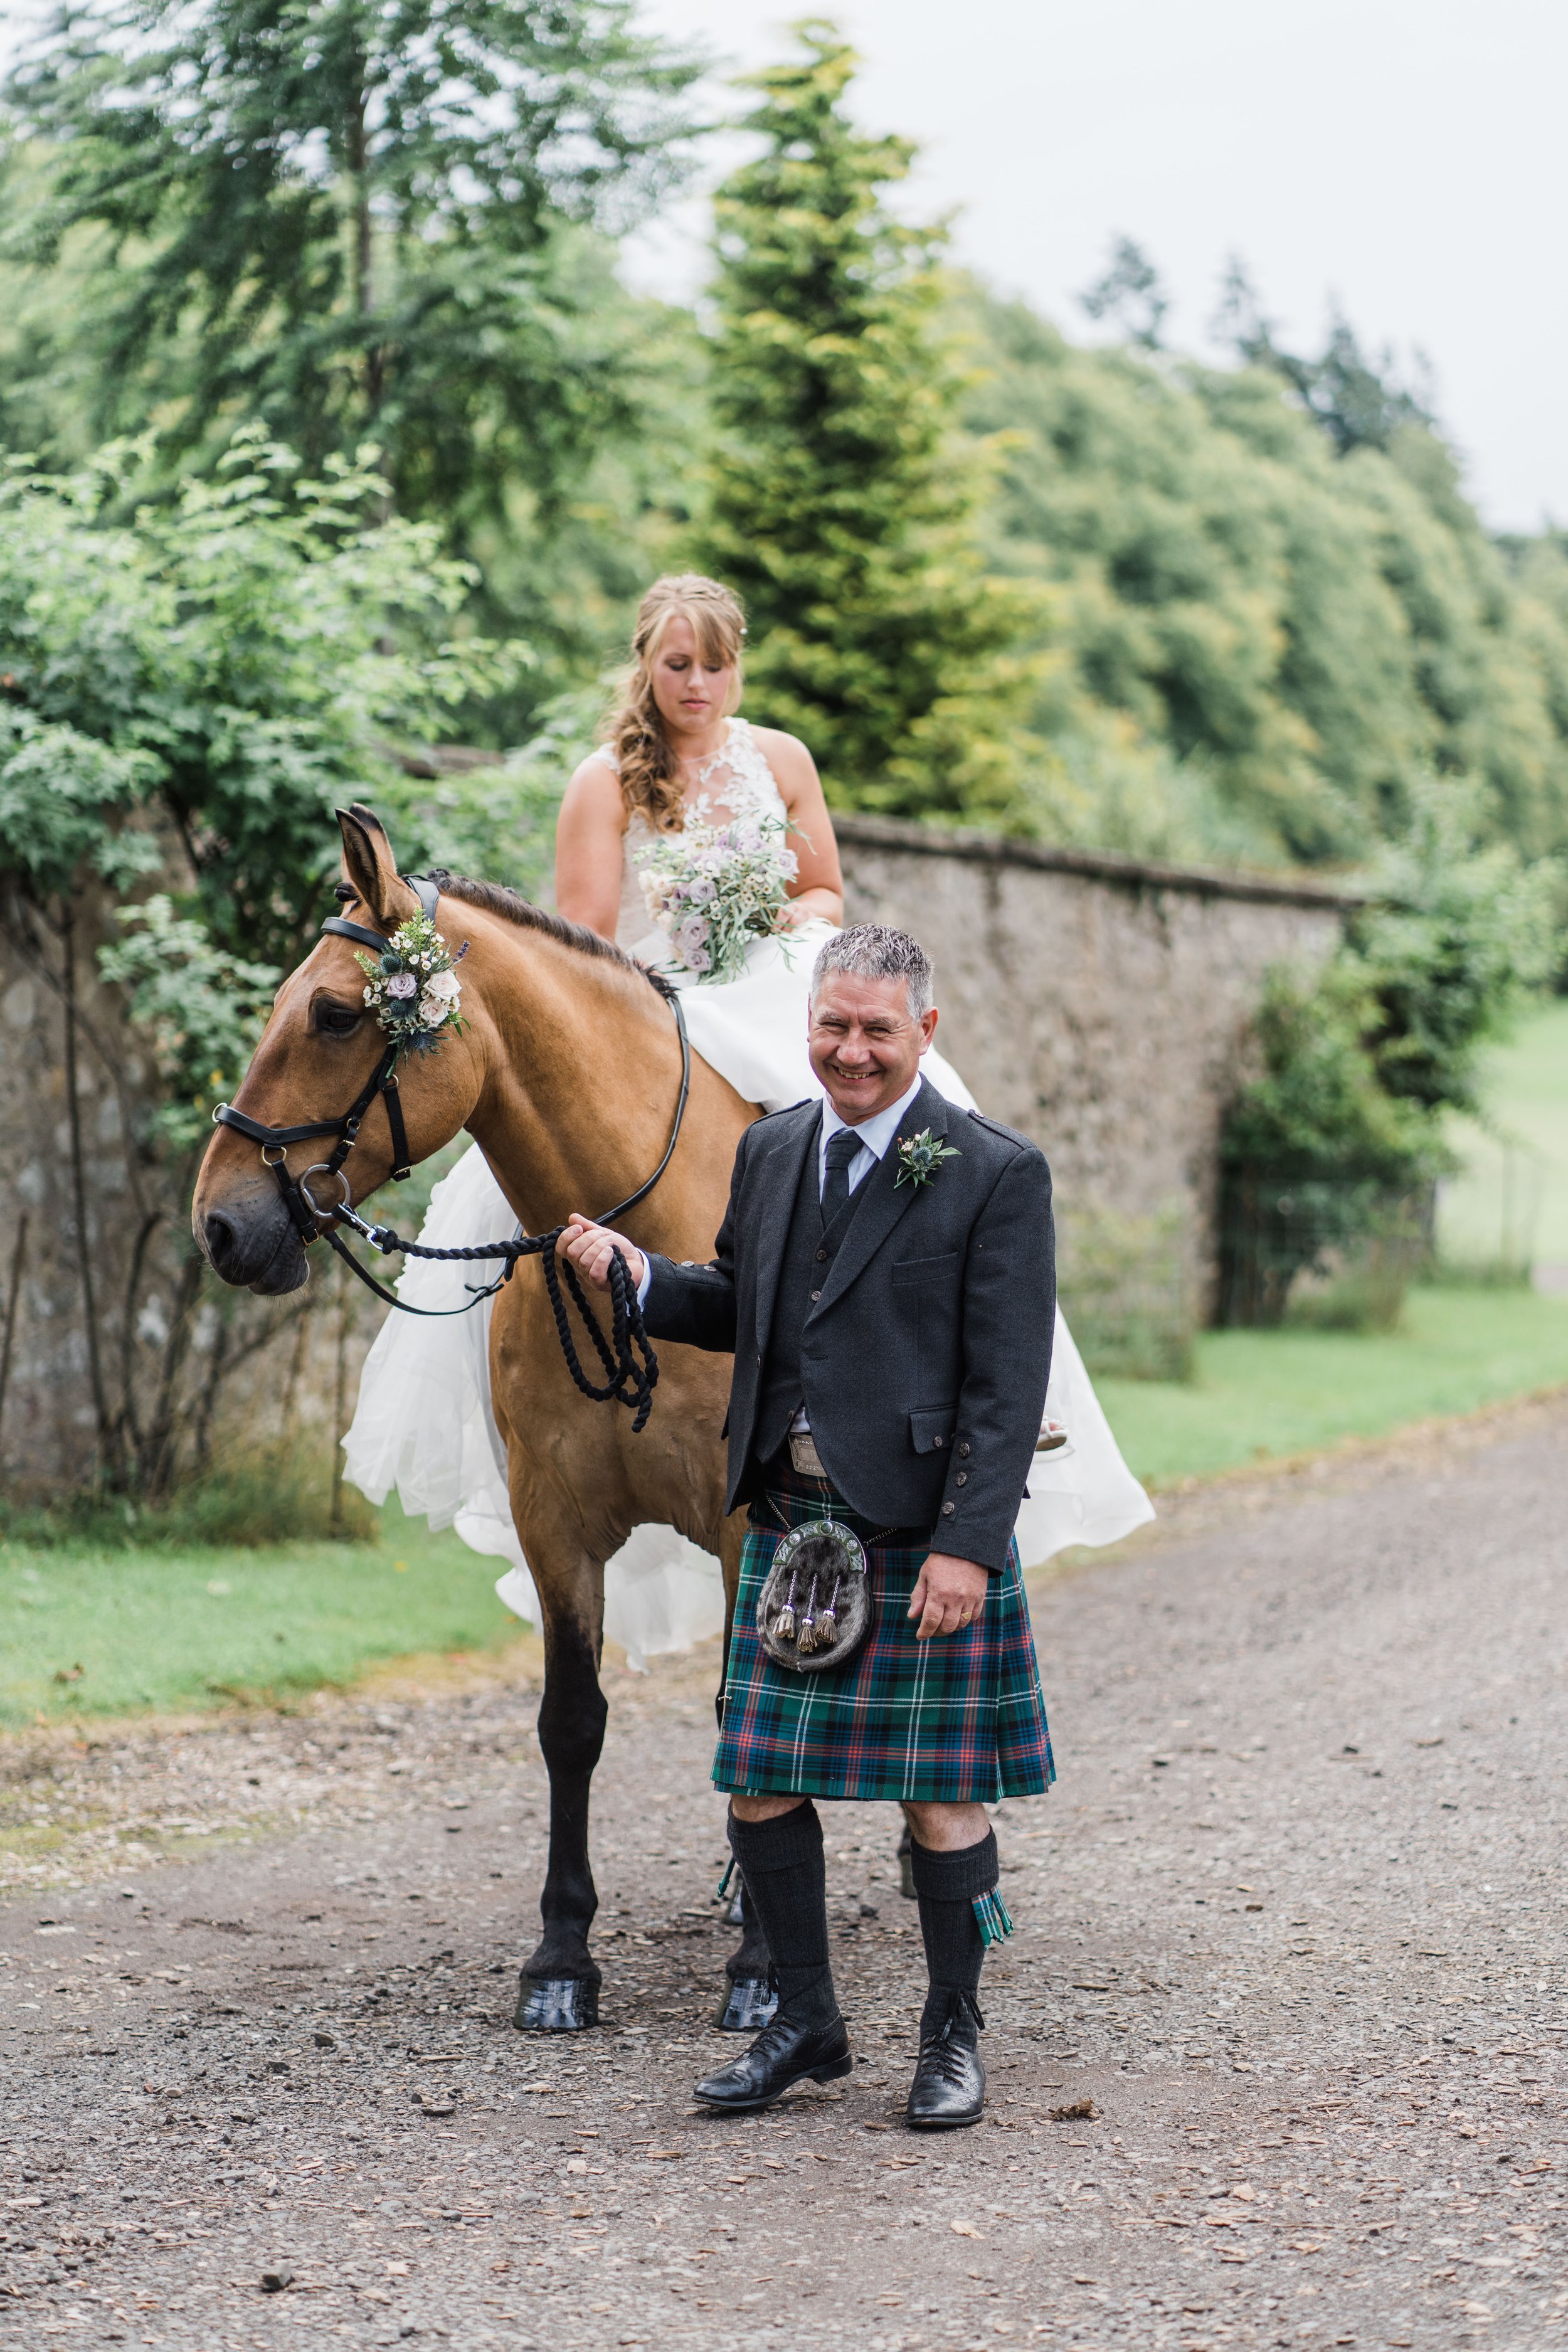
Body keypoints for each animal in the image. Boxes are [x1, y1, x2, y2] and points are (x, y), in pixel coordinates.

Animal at [195, 804, 771, 2023]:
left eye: (330, 1012)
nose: (218, 1224)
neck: (647, 1249)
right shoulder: (553, 1525)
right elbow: (571, 1725)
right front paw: (562, 1956)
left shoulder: (756, 1521)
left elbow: (753, 1717)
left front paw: (763, 1973)